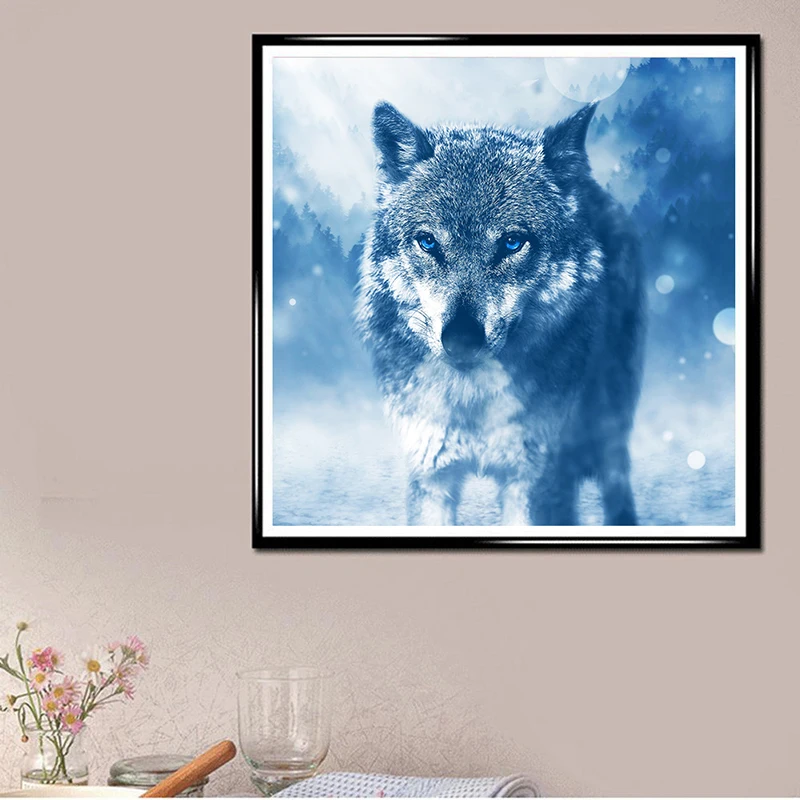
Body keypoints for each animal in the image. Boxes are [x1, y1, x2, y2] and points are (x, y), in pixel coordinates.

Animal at [355, 101, 645, 526]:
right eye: (428, 242)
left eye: (511, 243)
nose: (461, 339)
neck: (472, 399)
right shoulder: (431, 473)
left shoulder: (535, 480)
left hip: (609, 415)